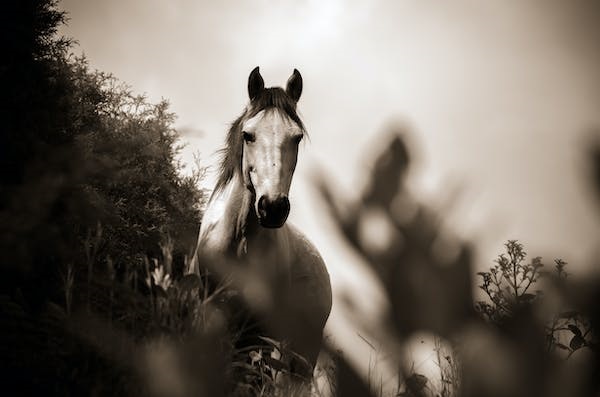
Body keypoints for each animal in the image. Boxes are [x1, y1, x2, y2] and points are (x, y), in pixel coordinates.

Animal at [190, 66, 332, 378]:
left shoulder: (257, 333)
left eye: (297, 138)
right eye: (248, 135)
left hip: (299, 356)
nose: (273, 207)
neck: (239, 241)